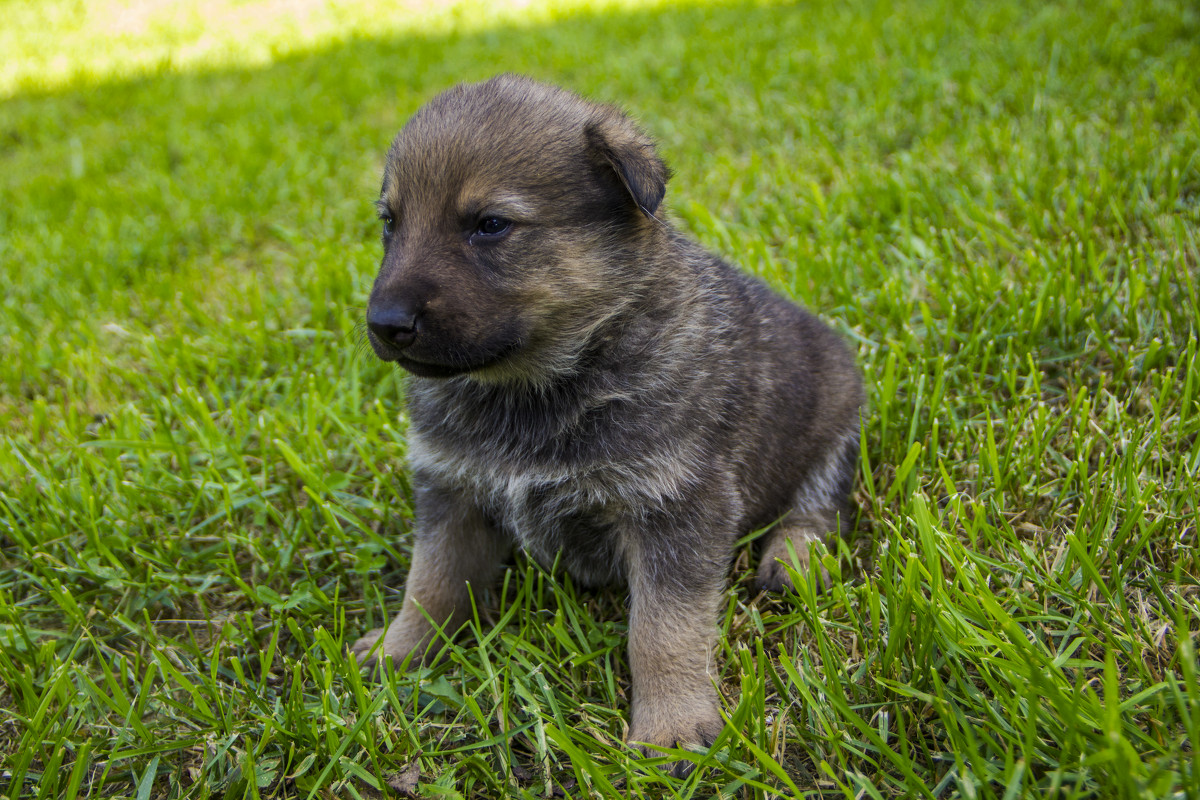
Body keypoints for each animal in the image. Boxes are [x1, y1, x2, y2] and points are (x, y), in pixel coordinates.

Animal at [350, 76, 868, 767]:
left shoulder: (676, 505)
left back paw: (795, 559)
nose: (384, 324)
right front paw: (398, 650)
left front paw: (671, 723)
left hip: (834, 423)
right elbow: (429, 583)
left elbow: (662, 628)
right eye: (390, 222)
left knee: (818, 509)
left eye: (490, 225)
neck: (537, 384)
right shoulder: (451, 489)